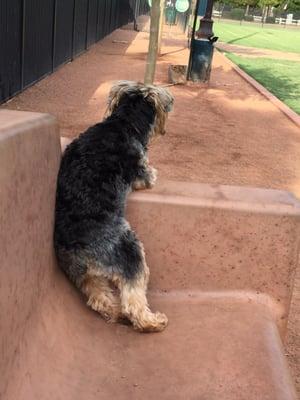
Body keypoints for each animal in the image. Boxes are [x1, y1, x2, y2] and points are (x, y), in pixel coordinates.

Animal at [54, 80, 173, 332]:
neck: (123, 122)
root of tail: (78, 250)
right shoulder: (142, 173)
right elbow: (150, 176)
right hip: (128, 250)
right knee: (133, 300)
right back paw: (152, 322)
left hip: (87, 275)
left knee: (99, 299)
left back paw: (117, 313)